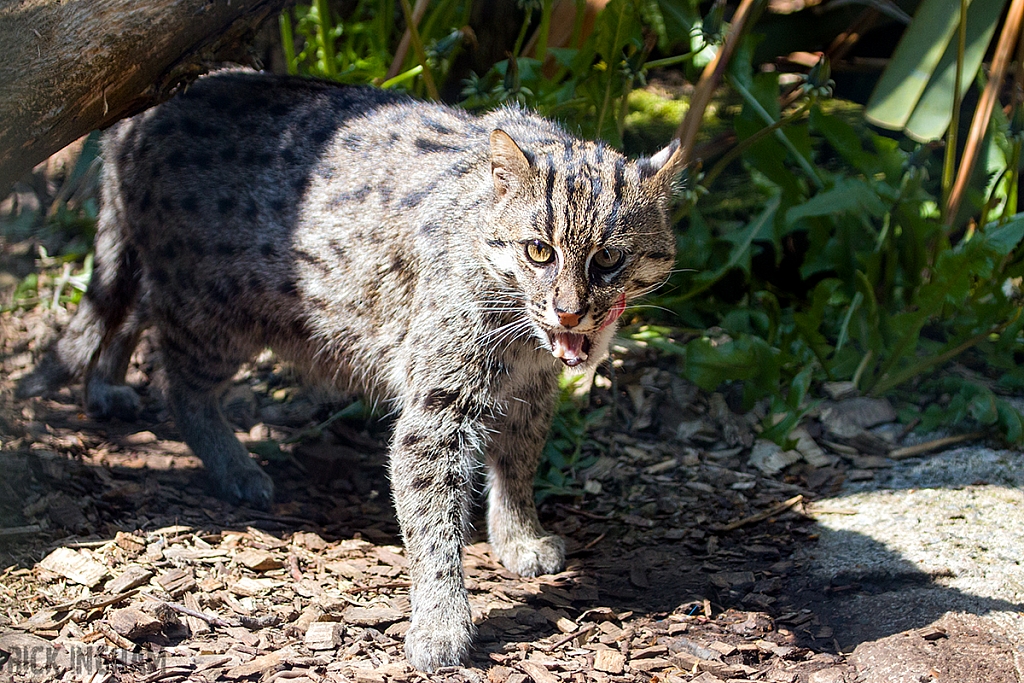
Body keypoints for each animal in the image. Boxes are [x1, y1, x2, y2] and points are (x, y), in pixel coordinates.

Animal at [18, 70, 679, 671]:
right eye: (538, 251)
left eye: (609, 259)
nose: (569, 309)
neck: (521, 337)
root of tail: (134, 120)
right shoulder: (436, 410)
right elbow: (433, 527)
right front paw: (441, 626)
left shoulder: (531, 394)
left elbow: (516, 468)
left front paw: (518, 538)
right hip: (214, 313)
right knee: (175, 380)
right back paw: (233, 467)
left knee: (128, 311)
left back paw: (106, 386)